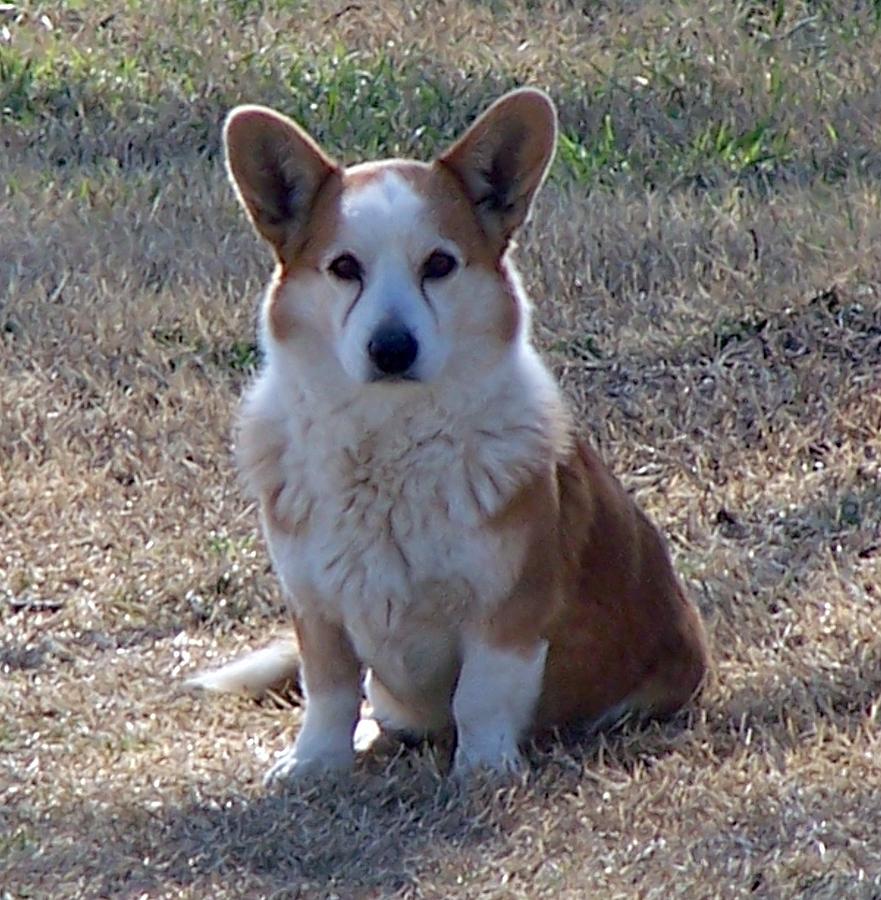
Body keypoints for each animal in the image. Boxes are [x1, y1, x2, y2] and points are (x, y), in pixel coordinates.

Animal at [194, 88, 708, 784]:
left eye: (438, 265)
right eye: (344, 268)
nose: (391, 348)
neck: (387, 442)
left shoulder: (506, 612)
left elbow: (480, 697)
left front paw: (483, 771)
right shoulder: (316, 610)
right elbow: (329, 692)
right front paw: (315, 763)